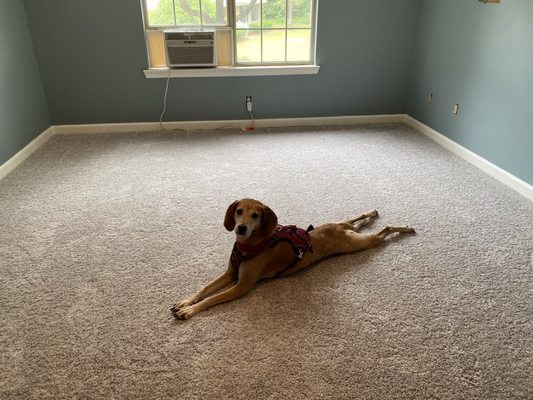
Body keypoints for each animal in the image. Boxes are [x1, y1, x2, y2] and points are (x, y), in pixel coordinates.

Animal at [172, 198, 414, 320]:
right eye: (239, 211)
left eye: (255, 215)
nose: (240, 228)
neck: (248, 245)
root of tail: (342, 229)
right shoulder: (230, 273)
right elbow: (204, 289)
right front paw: (186, 301)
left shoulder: (242, 287)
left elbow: (211, 298)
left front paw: (190, 310)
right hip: (344, 225)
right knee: (358, 219)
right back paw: (370, 213)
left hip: (359, 243)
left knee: (385, 230)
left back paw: (404, 228)